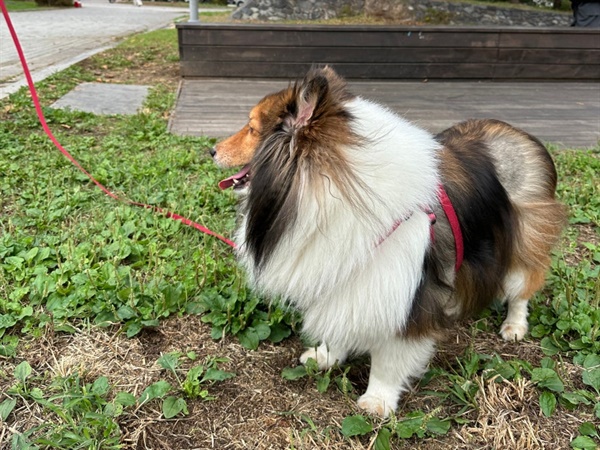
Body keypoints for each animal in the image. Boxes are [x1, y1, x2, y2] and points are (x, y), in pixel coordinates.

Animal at [212, 67, 568, 418]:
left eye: (252, 128)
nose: (211, 150)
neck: (325, 186)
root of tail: (520, 133)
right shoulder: (342, 275)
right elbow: (341, 320)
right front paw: (326, 356)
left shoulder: (404, 291)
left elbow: (390, 356)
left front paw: (378, 400)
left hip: (521, 248)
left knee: (522, 289)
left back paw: (514, 325)